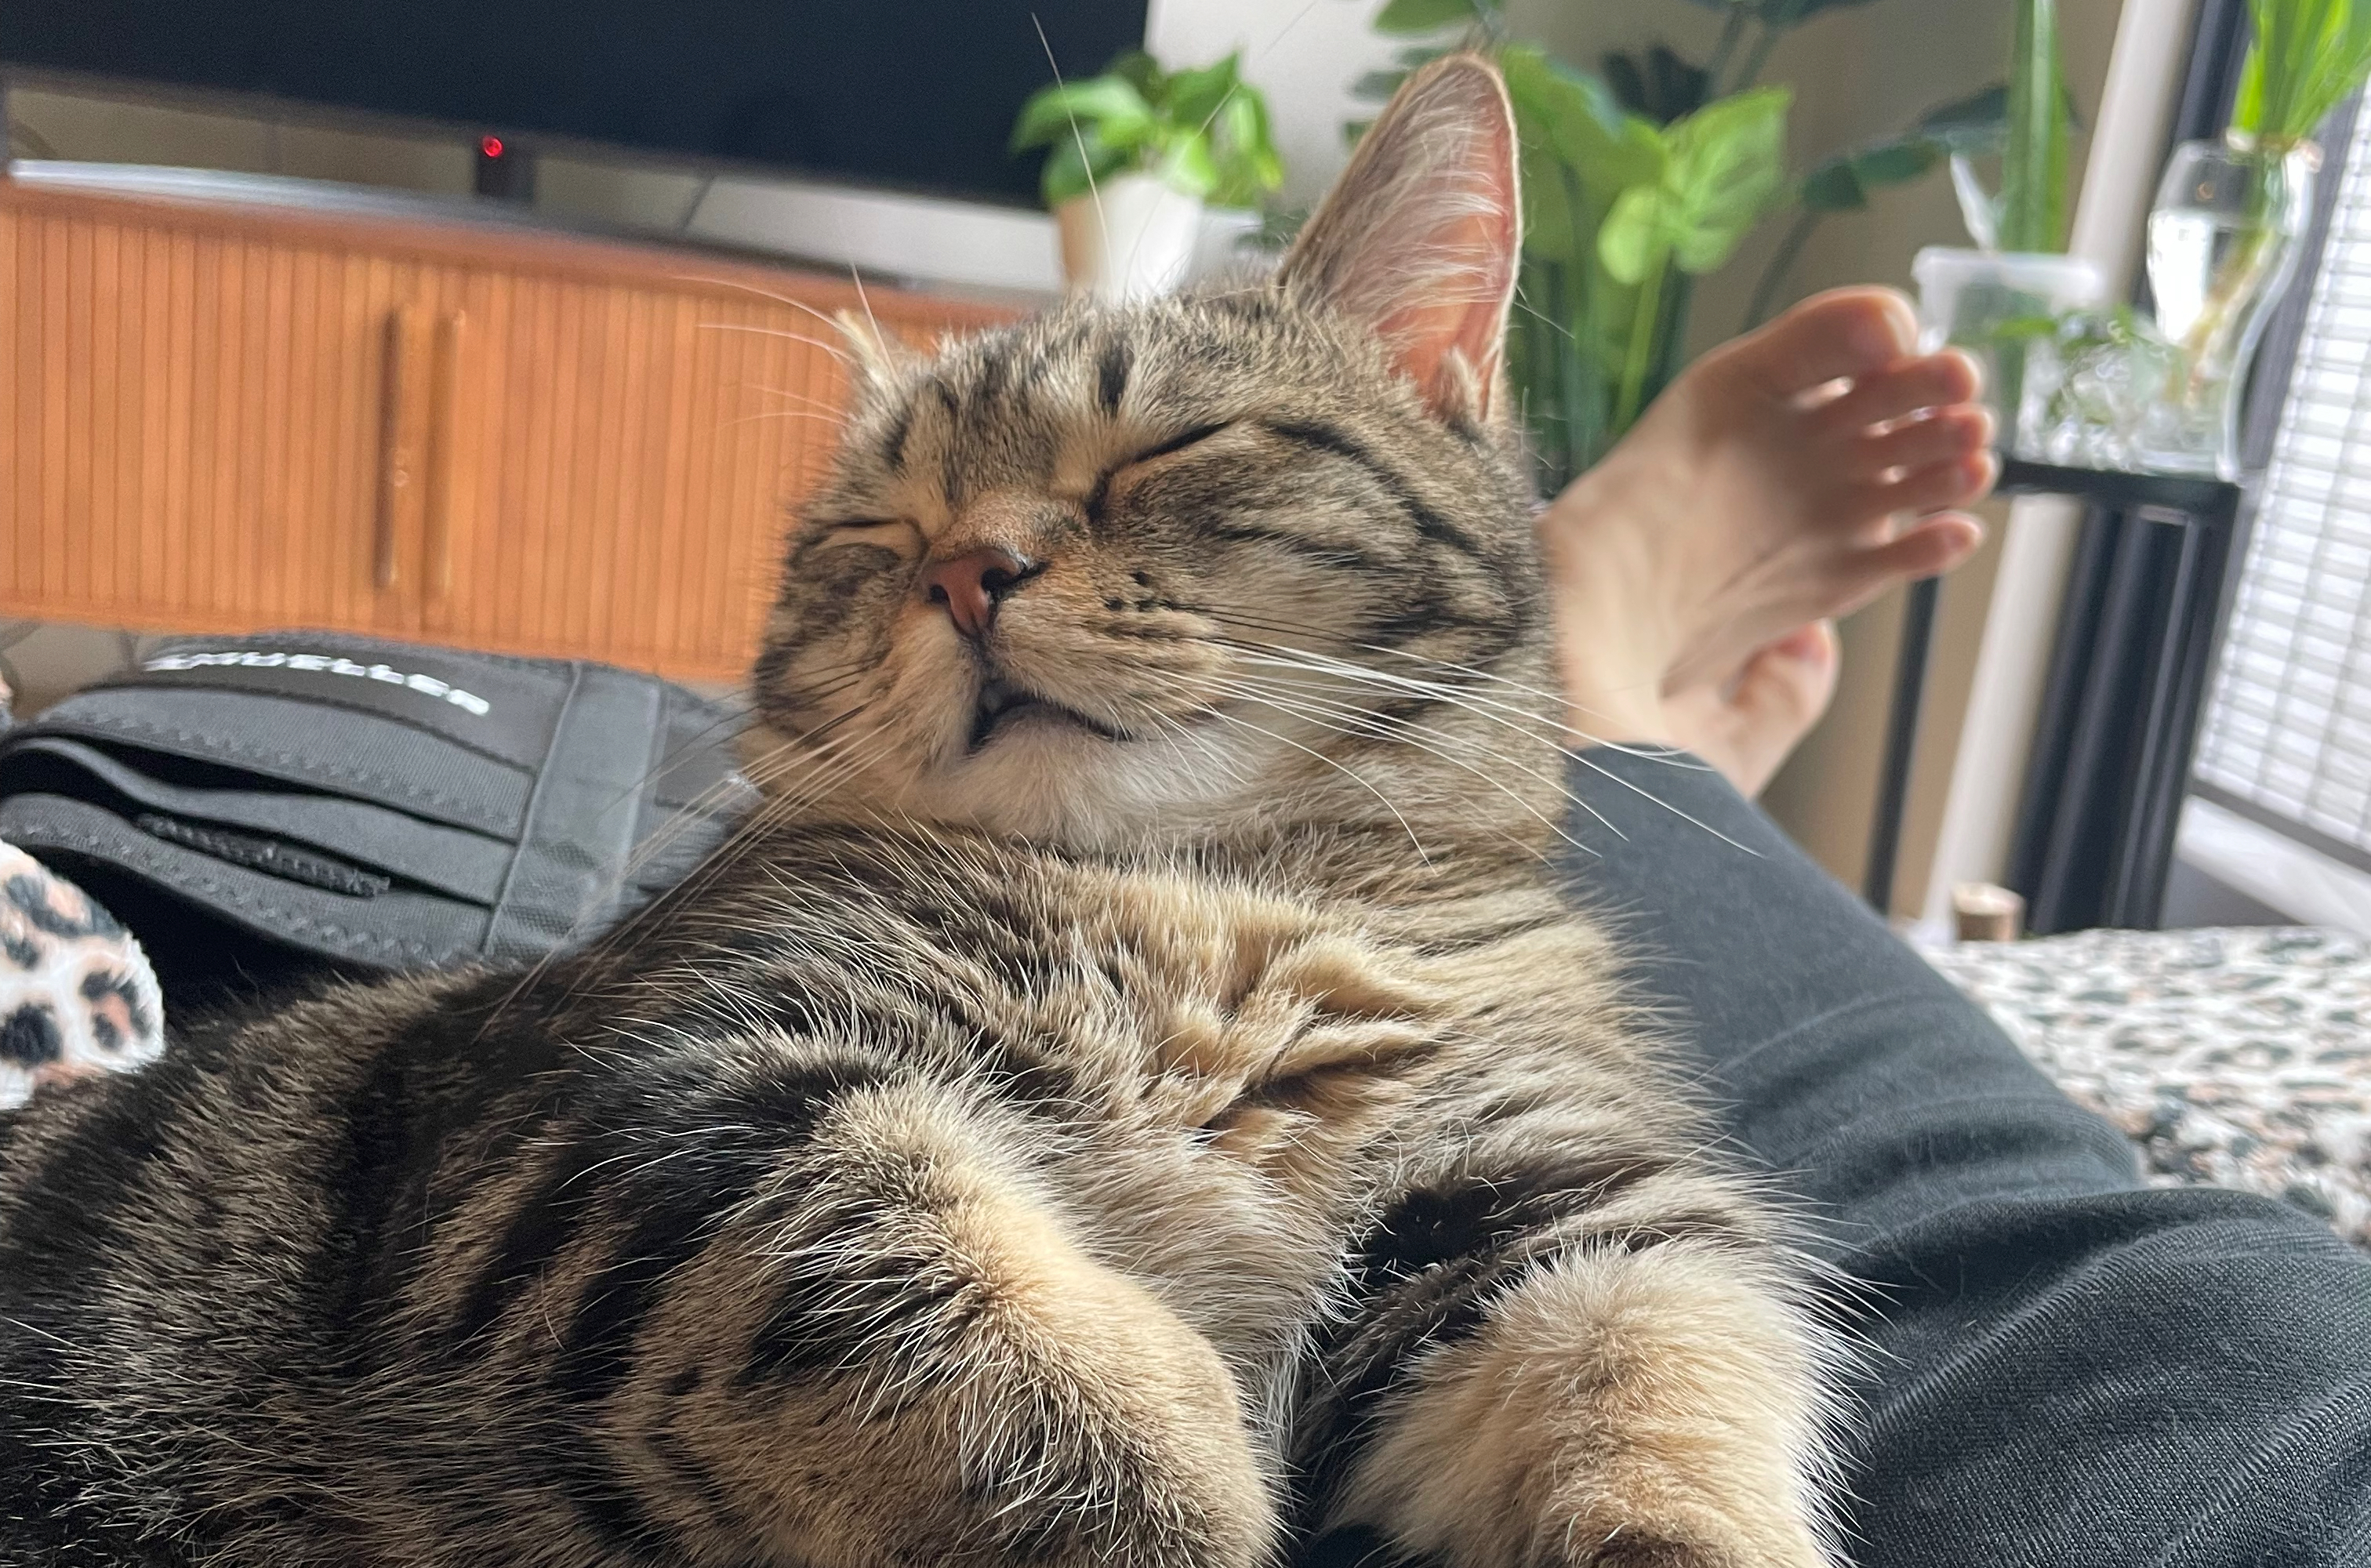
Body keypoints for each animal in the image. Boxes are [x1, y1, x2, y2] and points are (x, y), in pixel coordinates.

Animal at [0, 55, 1839, 1565]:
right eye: (874, 532)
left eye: (1165, 450)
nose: (967, 570)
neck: (1206, 894)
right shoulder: (642, 1120)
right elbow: (1012, 1345)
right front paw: (1187, 1474)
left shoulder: (1555, 1209)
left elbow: (1664, 1396)